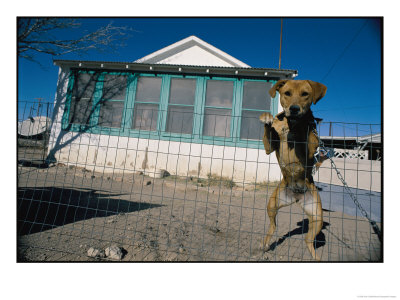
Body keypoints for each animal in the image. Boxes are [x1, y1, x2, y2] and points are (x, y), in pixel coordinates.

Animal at [260, 79, 328, 260]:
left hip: (317, 216)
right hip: (272, 204)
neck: (292, 124)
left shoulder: (311, 148)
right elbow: (270, 130)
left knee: (308, 241)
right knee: (273, 226)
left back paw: (315, 257)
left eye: (305, 94)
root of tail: (296, 198)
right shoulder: (269, 147)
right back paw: (265, 244)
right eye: (287, 93)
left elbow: (307, 138)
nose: (294, 109)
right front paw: (267, 119)